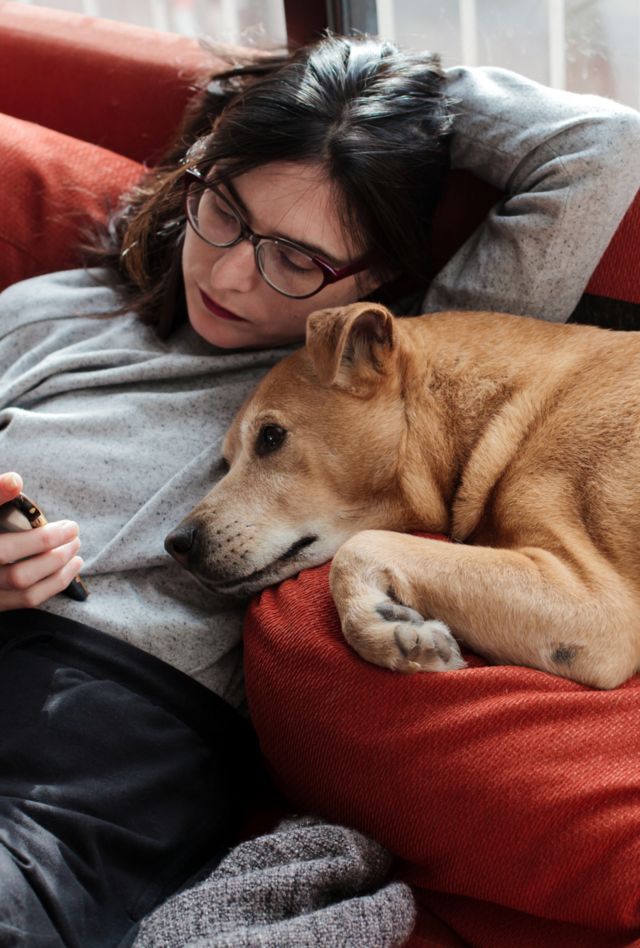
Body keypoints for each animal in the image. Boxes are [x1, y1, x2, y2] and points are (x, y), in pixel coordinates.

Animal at [165, 304, 640, 688]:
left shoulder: (596, 605)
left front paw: (380, 628)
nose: (175, 544)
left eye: (270, 436)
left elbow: (359, 547)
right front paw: (383, 622)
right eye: (227, 461)